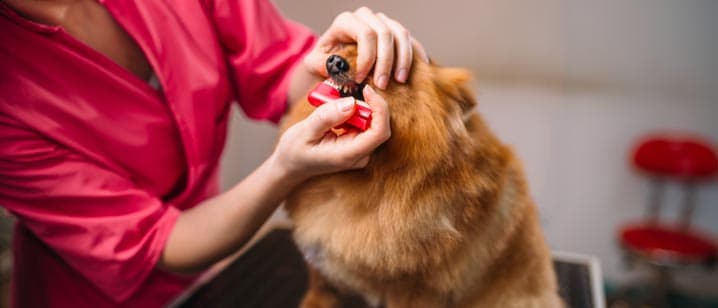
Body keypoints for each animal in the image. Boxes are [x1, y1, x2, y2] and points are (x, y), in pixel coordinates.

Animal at [278, 45, 564, 308]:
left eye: (382, 65)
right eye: (349, 47)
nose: (334, 61)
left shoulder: (414, 290)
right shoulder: (321, 255)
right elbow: (321, 286)